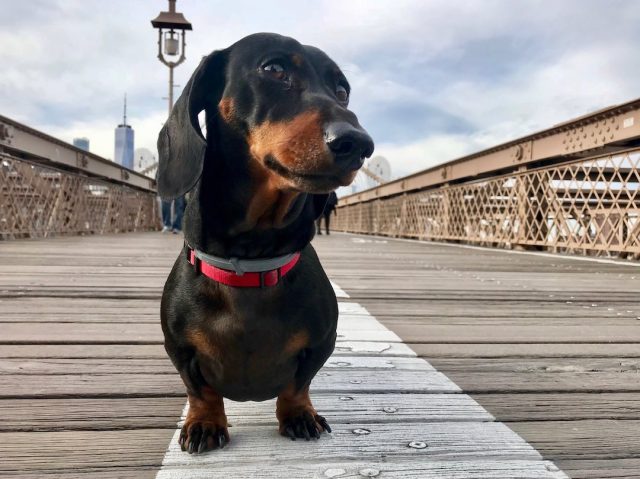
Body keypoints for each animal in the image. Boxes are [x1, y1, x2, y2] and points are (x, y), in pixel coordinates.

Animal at [157, 32, 372, 454]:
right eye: (274, 68)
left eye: (342, 91)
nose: (358, 144)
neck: (250, 261)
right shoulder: (178, 348)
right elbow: (200, 390)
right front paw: (205, 422)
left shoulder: (322, 343)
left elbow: (297, 385)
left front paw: (299, 414)